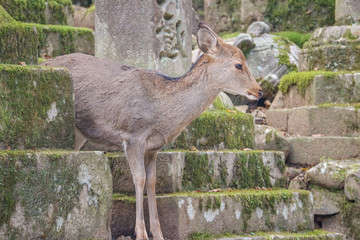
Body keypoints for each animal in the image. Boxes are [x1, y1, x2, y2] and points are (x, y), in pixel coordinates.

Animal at [42, 23, 262, 240]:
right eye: (239, 65)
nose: (259, 91)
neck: (162, 115)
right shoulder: (133, 136)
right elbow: (139, 179)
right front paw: (141, 234)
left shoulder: (154, 147)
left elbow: (152, 182)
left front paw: (158, 234)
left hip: (79, 134)